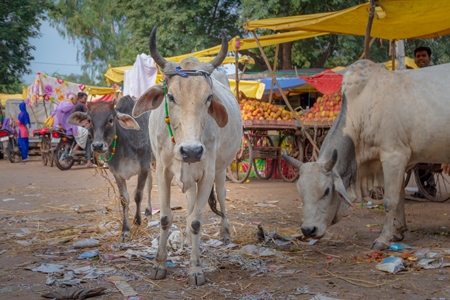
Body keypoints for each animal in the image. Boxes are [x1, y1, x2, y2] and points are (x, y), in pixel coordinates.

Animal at [68, 96, 153, 241]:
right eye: (89, 120)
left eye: (111, 119)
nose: (97, 146)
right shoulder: (117, 173)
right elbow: (124, 199)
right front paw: (125, 230)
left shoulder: (144, 167)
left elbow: (138, 195)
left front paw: (137, 221)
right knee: (150, 184)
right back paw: (148, 212)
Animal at [131, 27, 243, 286]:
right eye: (171, 96)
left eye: (209, 97)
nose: (191, 151)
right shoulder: (162, 171)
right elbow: (165, 218)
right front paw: (159, 264)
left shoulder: (207, 173)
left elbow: (196, 221)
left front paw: (195, 269)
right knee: (191, 203)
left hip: (220, 170)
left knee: (220, 197)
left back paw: (224, 233)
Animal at [284, 59, 450, 250]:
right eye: (300, 191)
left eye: (326, 191)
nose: (308, 230)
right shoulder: (400, 162)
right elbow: (400, 197)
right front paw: (398, 232)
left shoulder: (394, 157)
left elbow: (390, 200)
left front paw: (383, 239)